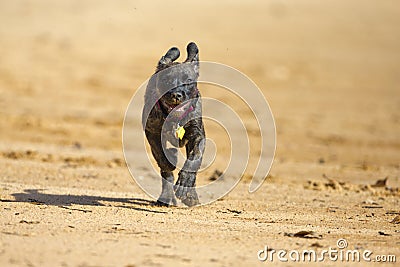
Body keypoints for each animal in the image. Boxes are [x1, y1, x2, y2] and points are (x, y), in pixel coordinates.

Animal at [141, 42, 205, 207]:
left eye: (188, 80)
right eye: (166, 80)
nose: (176, 94)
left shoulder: (198, 135)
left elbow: (195, 158)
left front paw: (185, 183)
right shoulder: (152, 132)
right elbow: (162, 159)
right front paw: (170, 160)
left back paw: (191, 195)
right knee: (166, 173)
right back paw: (166, 197)